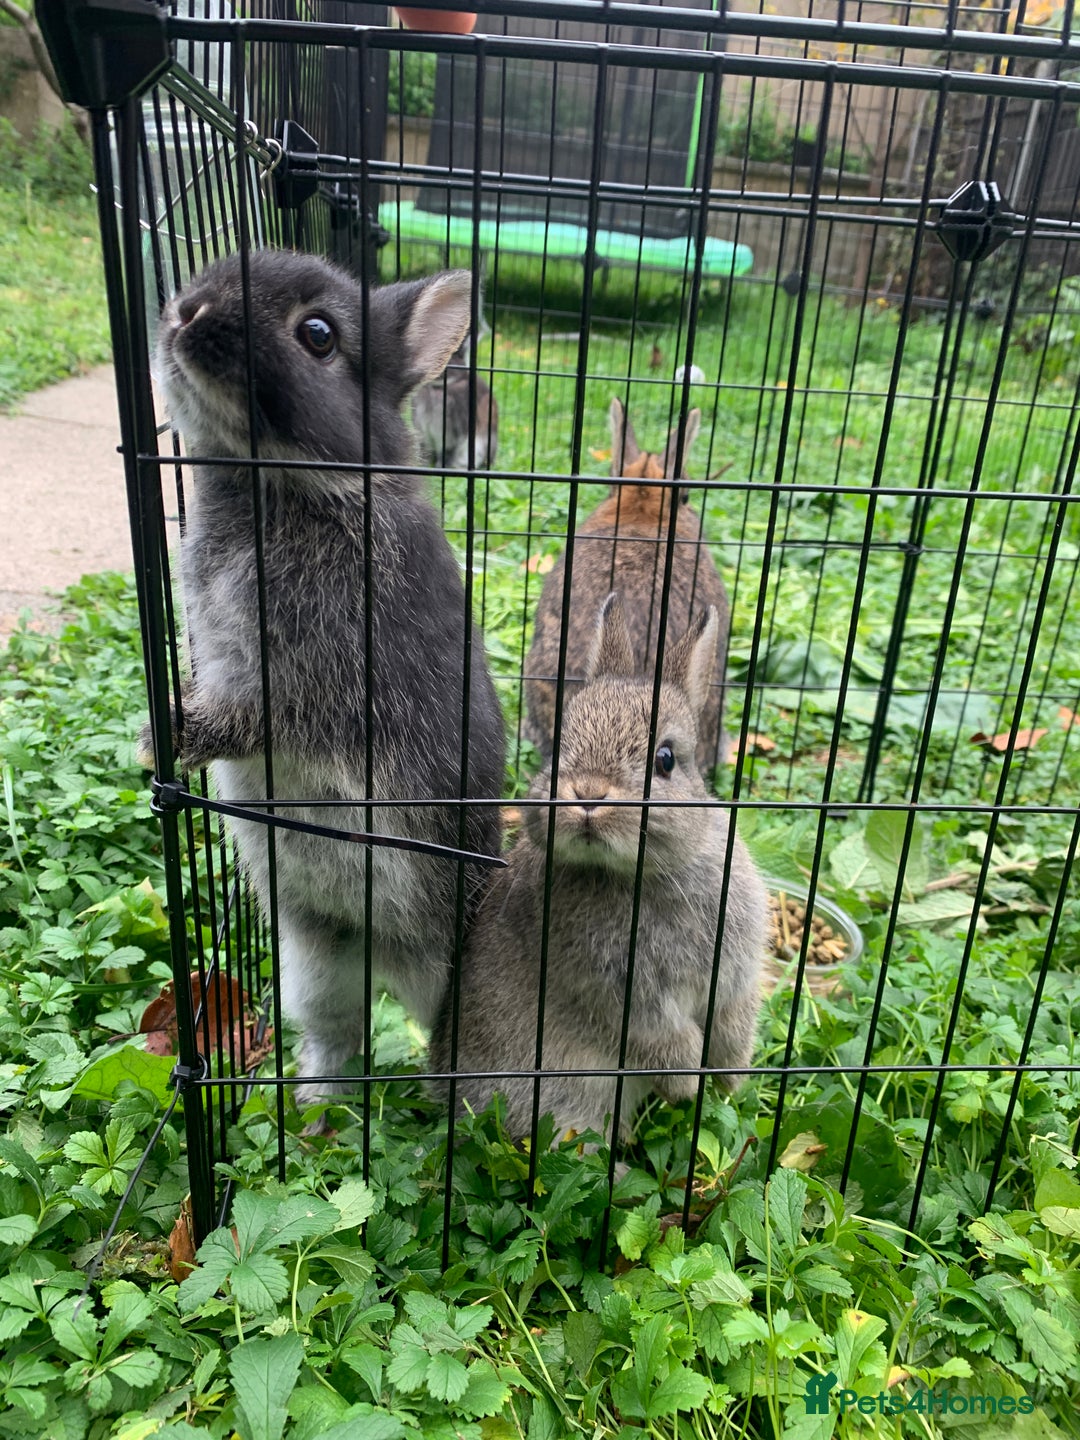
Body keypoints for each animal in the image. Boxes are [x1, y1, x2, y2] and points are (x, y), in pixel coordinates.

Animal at [431, 593, 767, 1146]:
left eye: (666, 759)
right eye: (558, 746)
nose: (587, 795)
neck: (644, 874)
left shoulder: (735, 973)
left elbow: (734, 1020)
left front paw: (730, 1079)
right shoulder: (622, 997)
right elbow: (664, 1040)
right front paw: (690, 1085)